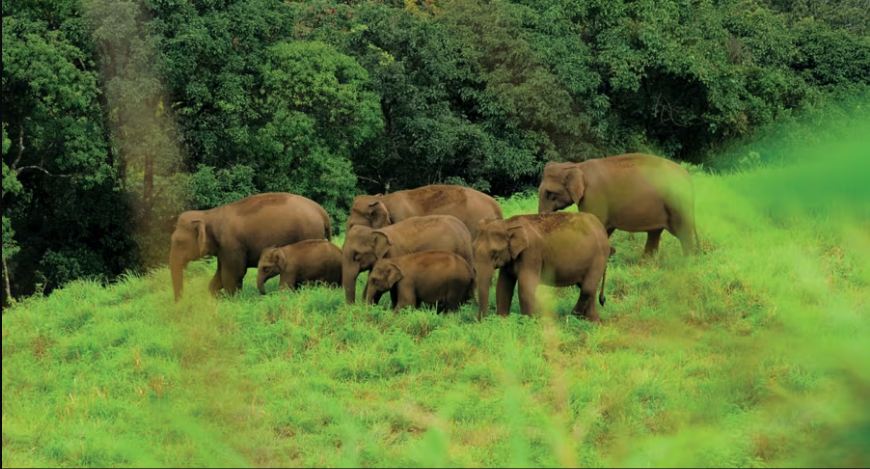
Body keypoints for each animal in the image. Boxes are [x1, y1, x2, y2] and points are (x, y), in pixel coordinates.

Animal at [169, 193, 330, 300]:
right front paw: (217, 298)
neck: (208, 214)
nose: (180, 303)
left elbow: (233, 274)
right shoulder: (223, 249)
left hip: (309, 232)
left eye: (179, 242)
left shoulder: (232, 245)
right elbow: (220, 275)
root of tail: (322, 211)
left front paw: (232, 301)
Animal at [474, 213, 608, 320]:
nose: (481, 321)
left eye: (494, 253)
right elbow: (503, 285)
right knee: (588, 288)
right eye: (473, 247)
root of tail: (601, 227)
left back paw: (572, 316)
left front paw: (529, 323)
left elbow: (525, 286)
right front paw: (503, 322)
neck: (508, 224)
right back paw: (593, 322)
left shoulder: (531, 253)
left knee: (587, 288)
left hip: (598, 258)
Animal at [540, 153, 700, 256]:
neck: (577, 165)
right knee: (655, 233)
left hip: (677, 204)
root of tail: (688, 177)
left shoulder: (594, 196)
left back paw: (687, 263)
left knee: (683, 233)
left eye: (549, 193)